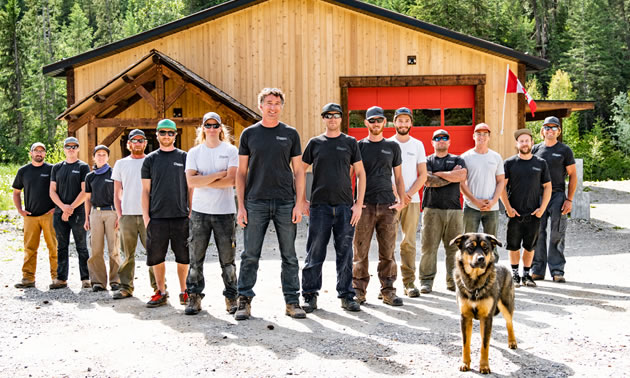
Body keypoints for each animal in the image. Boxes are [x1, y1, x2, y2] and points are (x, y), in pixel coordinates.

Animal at [454, 232, 520, 374]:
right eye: (470, 247)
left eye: (485, 248)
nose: (481, 259)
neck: (475, 285)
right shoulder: (465, 317)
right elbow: (465, 343)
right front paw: (465, 363)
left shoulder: (487, 317)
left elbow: (485, 345)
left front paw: (484, 366)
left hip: (506, 304)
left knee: (509, 323)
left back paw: (512, 341)